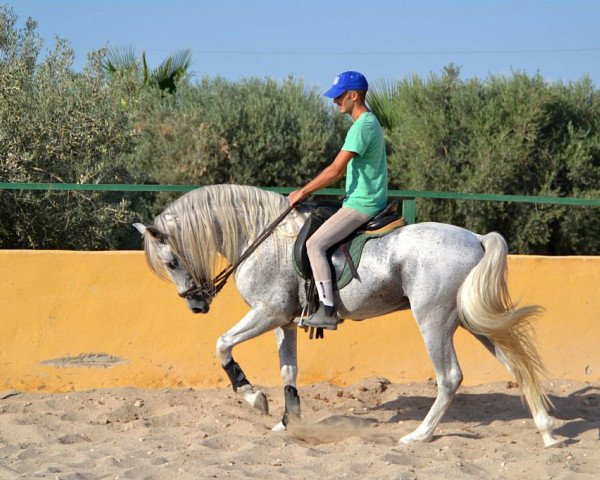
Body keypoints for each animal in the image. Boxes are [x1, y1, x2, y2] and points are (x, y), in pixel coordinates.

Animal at [134, 183, 564, 446]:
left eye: (171, 261)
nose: (196, 304)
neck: (263, 238)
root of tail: (475, 238)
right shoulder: (284, 321)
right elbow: (288, 370)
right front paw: (287, 423)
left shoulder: (267, 313)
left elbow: (222, 344)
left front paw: (254, 398)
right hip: (474, 322)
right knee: (515, 363)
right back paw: (546, 432)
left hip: (434, 321)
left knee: (450, 377)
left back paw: (419, 436)